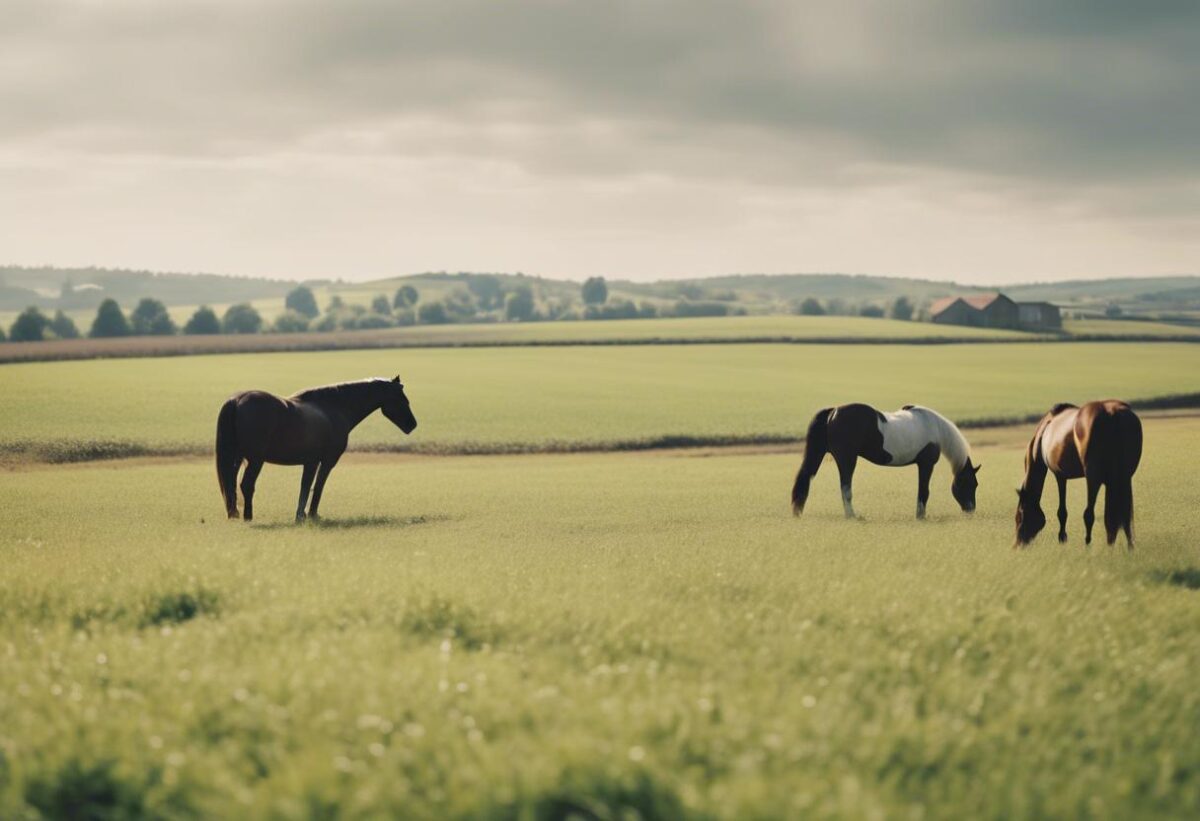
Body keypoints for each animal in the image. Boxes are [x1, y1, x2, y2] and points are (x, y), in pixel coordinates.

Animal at [215, 376, 417, 522]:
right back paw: (248, 517)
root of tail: (237, 400)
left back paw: (234, 514)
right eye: (400, 399)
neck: (333, 408)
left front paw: (301, 515)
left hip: (237, 458)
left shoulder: (310, 462)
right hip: (256, 460)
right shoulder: (327, 461)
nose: (412, 425)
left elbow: (305, 486)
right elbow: (318, 486)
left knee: (231, 483)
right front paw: (311, 514)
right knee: (246, 484)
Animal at [791, 403, 980, 519]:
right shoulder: (926, 465)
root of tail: (834, 412)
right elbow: (924, 491)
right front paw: (920, 517)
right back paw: (852, 516)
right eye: (971, 483)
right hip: (847, 460)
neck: (936, 429)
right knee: (845, 488)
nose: (971, 510)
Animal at [1014, 400, 1141, 548]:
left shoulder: (1060, 475)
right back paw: (1127, 546)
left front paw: (1062, 538)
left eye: (1020, 515)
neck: (1044, 434)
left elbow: (1062, 512)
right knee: (1123, 516)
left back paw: (1088, 545)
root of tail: (1112, 413)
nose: (1017, 545)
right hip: (1124, 478)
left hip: (1093, 479)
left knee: (1089, 514)